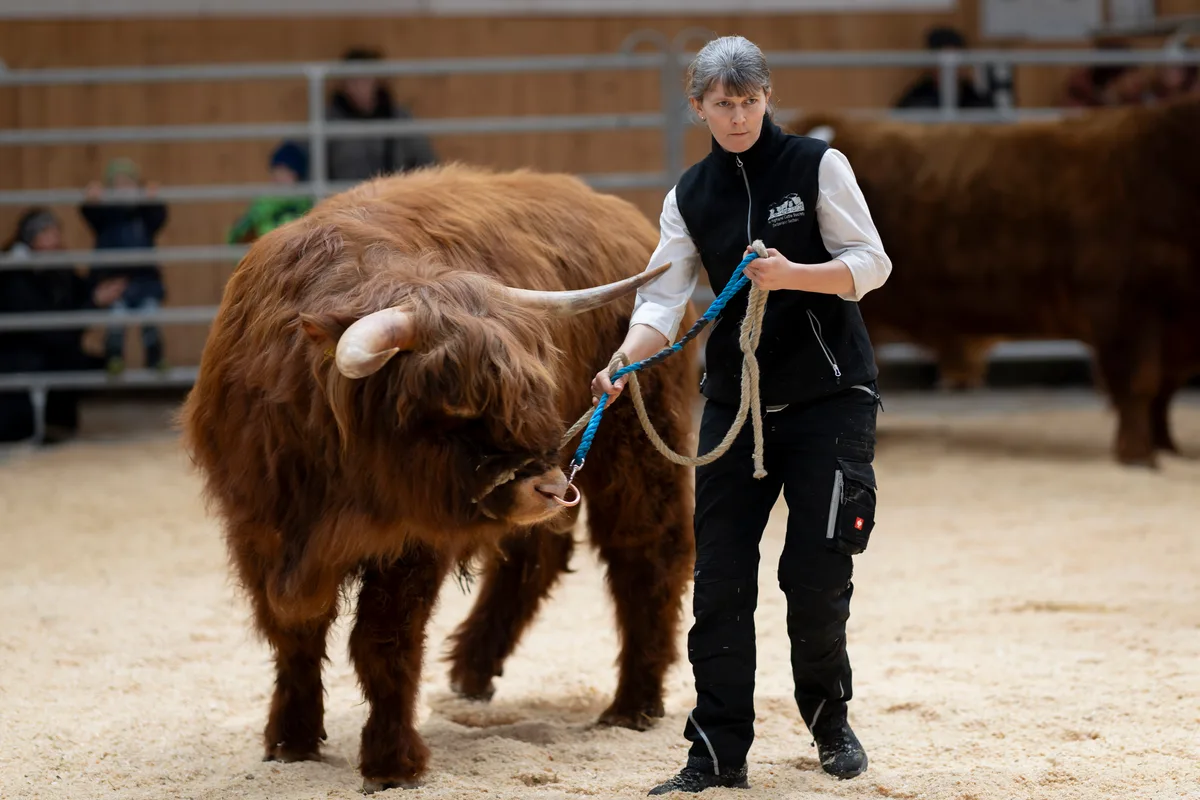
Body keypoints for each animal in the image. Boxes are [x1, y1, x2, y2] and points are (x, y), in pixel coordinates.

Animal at [178, 164, 698, 792]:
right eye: (456, 408)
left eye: (534, 389)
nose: (547, 488)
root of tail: (615, 211)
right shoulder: (258, 529)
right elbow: (293, 633)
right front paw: (291, 739)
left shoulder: (411, 540)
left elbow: (384, 643)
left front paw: (391, 762)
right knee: (536, 557)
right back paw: (473, 670)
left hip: (638, 446)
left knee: (646, 553)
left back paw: (633, 704)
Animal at [794, 98, 1200, 466]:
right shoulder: (1123, 308)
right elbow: (1139, 386)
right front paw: (1139, 455)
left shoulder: (1171, 327)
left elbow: (1163, 390)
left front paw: (1166, 446)